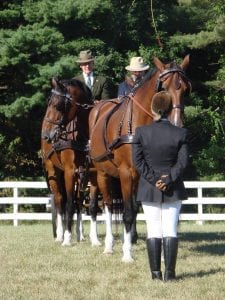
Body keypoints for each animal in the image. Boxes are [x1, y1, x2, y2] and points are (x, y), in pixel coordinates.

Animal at [41, 77, 93, 246]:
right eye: (48, 102)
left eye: (59, 105)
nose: (46, 134)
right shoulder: (69, 170)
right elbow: (67, 203)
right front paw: (67, 237)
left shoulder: (84, 172)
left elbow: (76, 202)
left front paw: (75, 234)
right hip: (53, 170)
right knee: (59, 200)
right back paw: (59, 234)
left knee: (77, 201)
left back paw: (78, 233)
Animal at [89, 55, 191, 262]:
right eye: (163, 88)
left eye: (185, 89)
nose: (177, 125)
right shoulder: (127, 173)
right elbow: (128, 213)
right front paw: (127, 253)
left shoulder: (151, 174)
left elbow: (147, 209)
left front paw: (161, 254)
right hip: (101, 173)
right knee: (107, 206)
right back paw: (108, 244)